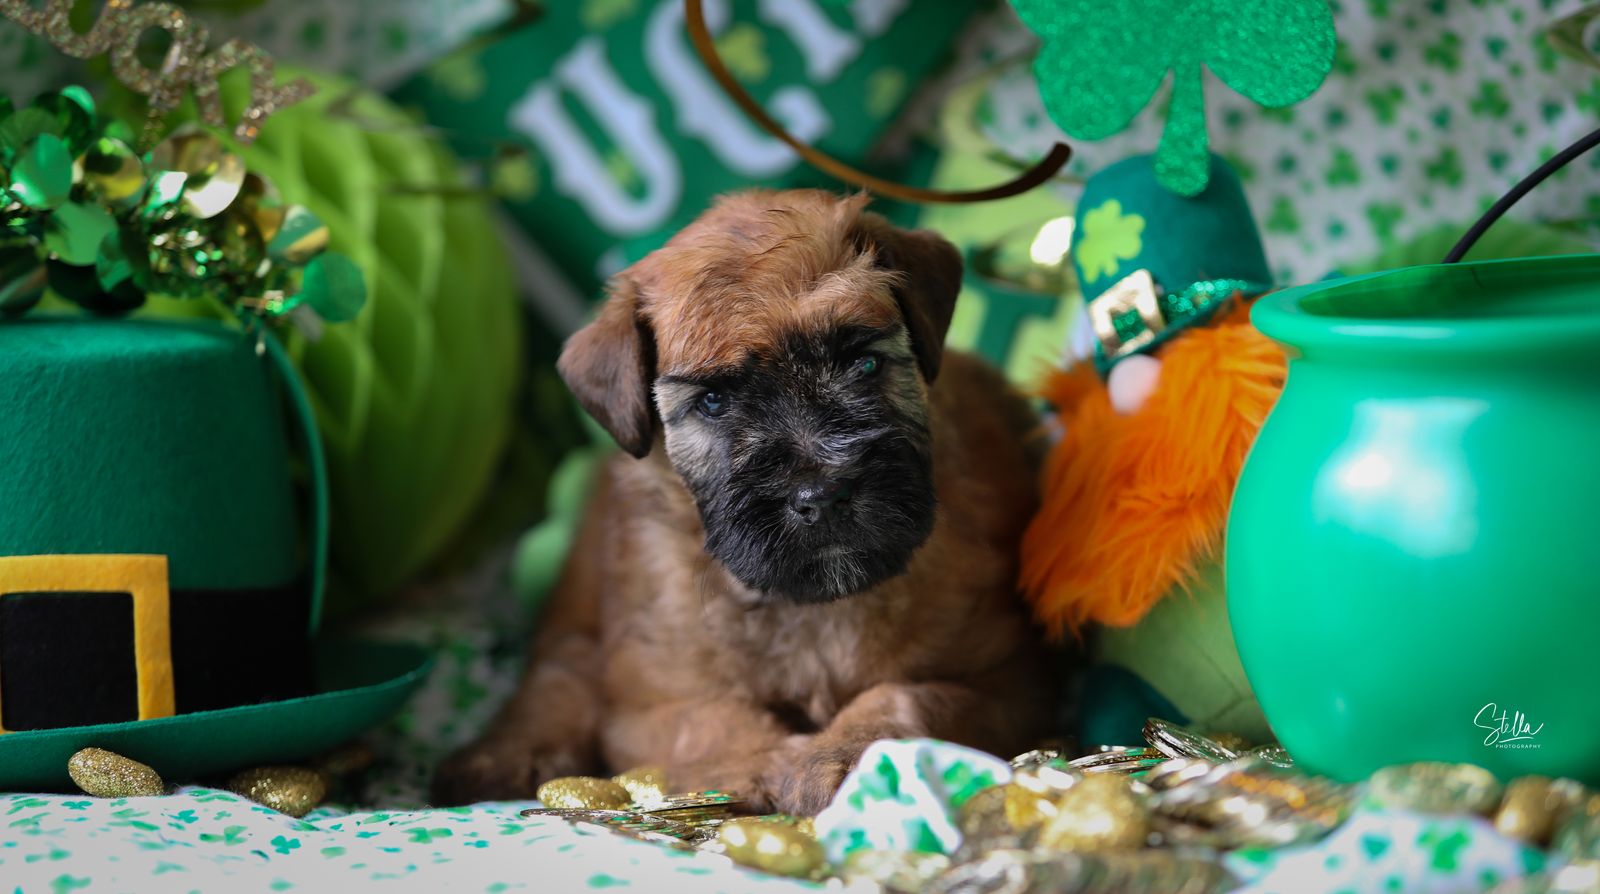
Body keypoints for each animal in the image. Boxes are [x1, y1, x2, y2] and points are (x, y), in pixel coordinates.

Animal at [434, 190, 1051, 814]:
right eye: (712, 402)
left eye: (865, 363)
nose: (823, 495)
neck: (811, 610)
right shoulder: (648, 704)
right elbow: (712, 721)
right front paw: (765, 763)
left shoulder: (1009, 676)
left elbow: (908, 697)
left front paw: (848, 756)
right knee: (558, 671)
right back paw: (501, 754)